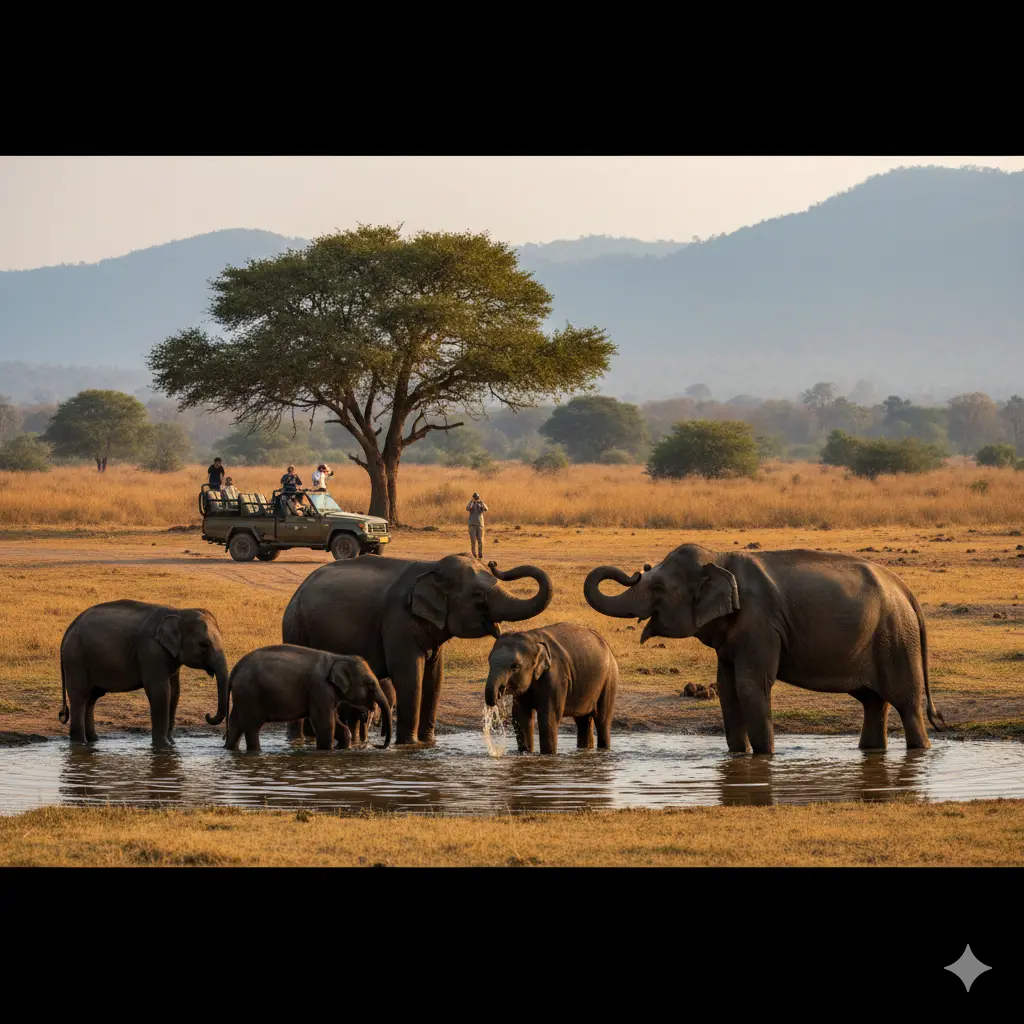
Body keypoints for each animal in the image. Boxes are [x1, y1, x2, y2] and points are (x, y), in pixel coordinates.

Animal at [59, 599, 230, 749]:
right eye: (204, 644)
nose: (208, 715)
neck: (179, 612)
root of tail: (68, 630)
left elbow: (175, 692)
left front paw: (172, 744)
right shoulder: (151, 650)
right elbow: (161, 692)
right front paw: (163, 747)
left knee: (91, 699)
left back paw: (94, 740)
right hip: (76, 660)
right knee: (80, 697)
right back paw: (79, 743)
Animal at [223, 645, 392, 753]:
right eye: (370, 685)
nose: (377, 746)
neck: (338, 657)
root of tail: (235, 669)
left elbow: (335, 723)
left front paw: (343, 748)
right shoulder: (320, 688)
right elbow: (325, 723)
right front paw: (326, 751)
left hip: (242, 696)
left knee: (236, 724)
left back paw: (229, 749)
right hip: (250, 694)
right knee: (252, 727)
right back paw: (256, 752)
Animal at [281, 554, 552, 746]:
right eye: (477, 595)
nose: (494, 562)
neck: (431, 568)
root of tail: (298, 590)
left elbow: (435, 678)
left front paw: (428, 743)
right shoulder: (398, 620)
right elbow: (409, 675)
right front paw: (409, 745)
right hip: (295, 626)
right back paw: (297, 741)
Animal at [484, 622, 619, 754]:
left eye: (515, 666)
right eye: (489, 661)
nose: (498, 694)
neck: (533, 639)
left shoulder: (555, 678)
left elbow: (548, 717)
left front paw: (548, 755)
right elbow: (521, 717)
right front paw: (526, 753)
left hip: (609, 678)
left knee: (602, 720)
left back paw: (604, 750)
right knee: (582, 721)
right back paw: (584, 750)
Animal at [583, 543, 945, 756]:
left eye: (658, 587)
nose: (636, 570)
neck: (720, 559)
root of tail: (905, 590)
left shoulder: (759, 622)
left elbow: (750, 685)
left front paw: (764, 757)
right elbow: (727, 687)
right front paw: (737, 756)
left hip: (896, 637)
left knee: (905, 702)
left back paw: (920, 750)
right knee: (873, 702)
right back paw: (870, 751)